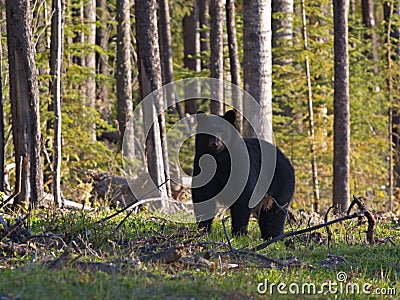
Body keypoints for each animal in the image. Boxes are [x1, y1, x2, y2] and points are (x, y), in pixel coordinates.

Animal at [192, 109, 296, 239]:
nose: (215, 144)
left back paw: (273, 235)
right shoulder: (203, 169)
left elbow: (243, 198)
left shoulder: (241, 167)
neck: (219, 160)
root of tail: (288, 161)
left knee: (274, 213)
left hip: (280, 183)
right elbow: (203, 196)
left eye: (222, 131)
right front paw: (202, 230)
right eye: (208, 132)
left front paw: (239, 233)